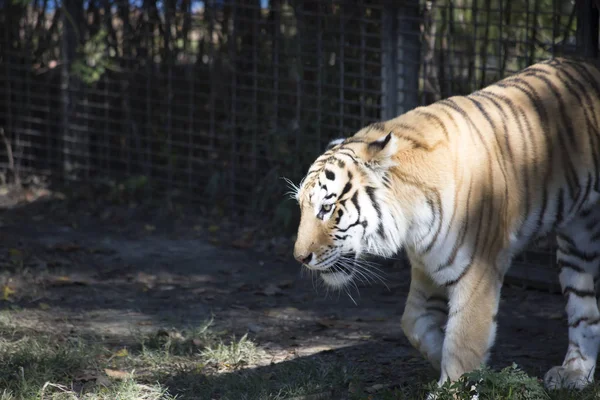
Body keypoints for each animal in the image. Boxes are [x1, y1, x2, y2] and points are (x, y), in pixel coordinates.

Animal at [290, 57, 600, 392]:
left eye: (327, 207)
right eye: (302, 206)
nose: (300, 258)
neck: (411, 223)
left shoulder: (478, 270)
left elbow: (463, 343)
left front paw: (457, 384)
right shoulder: (429, 265)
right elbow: (413, 322)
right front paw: (470, 369)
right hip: (578, 245)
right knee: (585, 312)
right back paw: (575, 373)